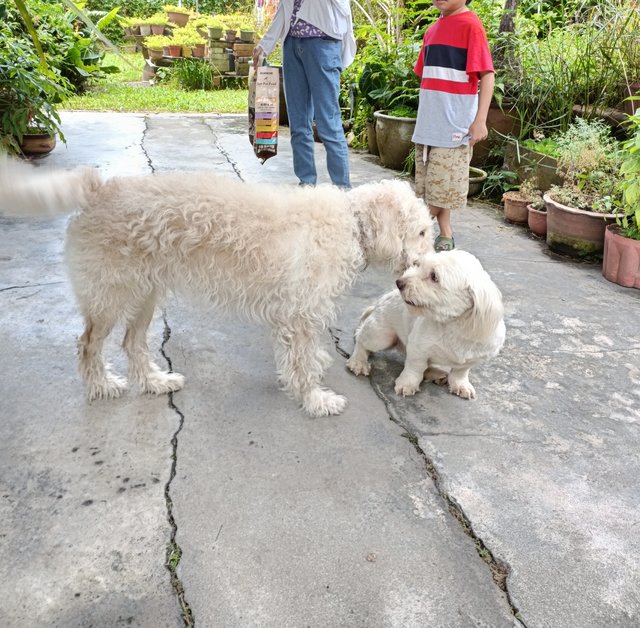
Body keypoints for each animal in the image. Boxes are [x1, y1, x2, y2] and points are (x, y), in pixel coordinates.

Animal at [1, 159, 436, 418]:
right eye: (421, 232)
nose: (422, 268)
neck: (350, 222)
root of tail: (98, 188)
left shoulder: (292, 318)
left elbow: (300, 360)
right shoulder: (301, 318)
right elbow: (302, 364)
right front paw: (315, 399)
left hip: (145, 295)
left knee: (131, 343)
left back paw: (155, 382)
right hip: (110, 298)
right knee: (88, 345)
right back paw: (102, 385)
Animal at [344, 249, 504, 400]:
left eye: (434, 276)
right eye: (418, 265)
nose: (399, 282)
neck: (454, 324)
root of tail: (382, 299)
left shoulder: (473, 358)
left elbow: (460, 372)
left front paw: (460, 384)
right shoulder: (417, 348)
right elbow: (415, 367)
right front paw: (407, 383)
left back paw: (435, 373)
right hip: (381, 336)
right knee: (361, 339)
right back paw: (359, 361)